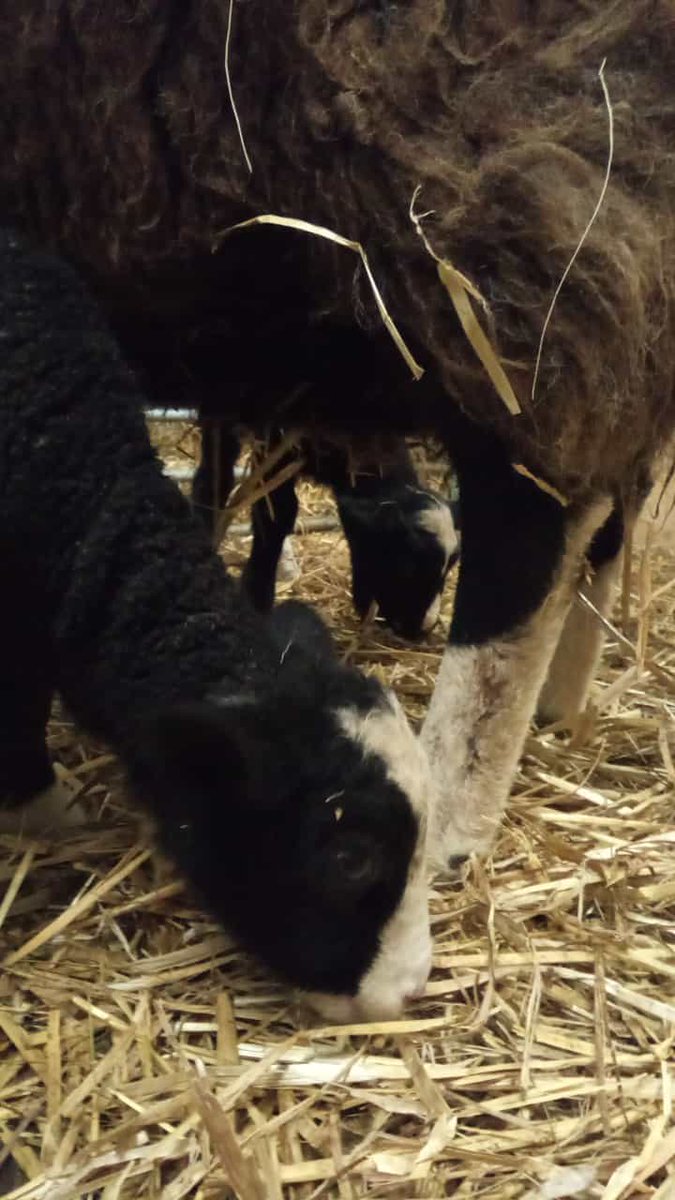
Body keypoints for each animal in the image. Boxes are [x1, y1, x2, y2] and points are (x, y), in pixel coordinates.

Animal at [194, 423, 459, 639]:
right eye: (407, 566)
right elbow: (276, 513)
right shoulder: (274, 441)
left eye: (450, 568)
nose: (424, 628)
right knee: (215, 475)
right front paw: (257, 599)